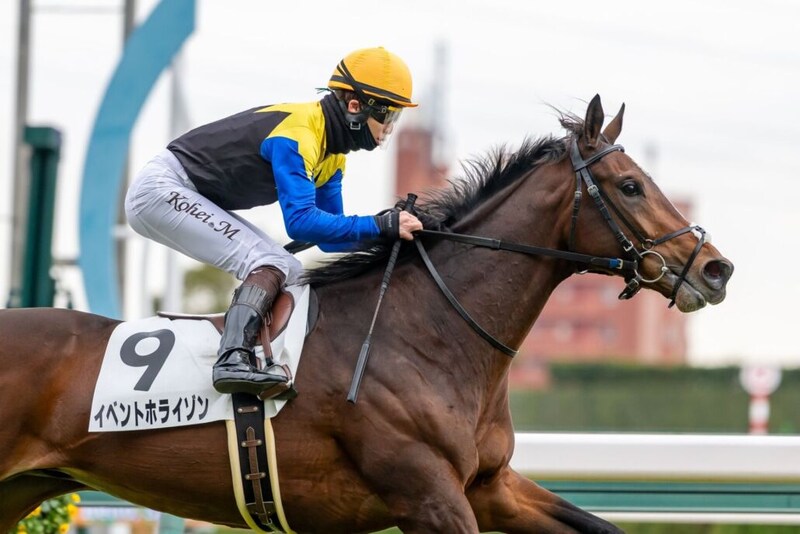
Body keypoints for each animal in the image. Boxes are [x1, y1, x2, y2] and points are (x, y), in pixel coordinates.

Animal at [0, 95, 732, 533]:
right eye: (631, 186)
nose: (715, 269)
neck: (430, 332)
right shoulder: (430, 497)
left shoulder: (489, 486)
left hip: (21, 488)